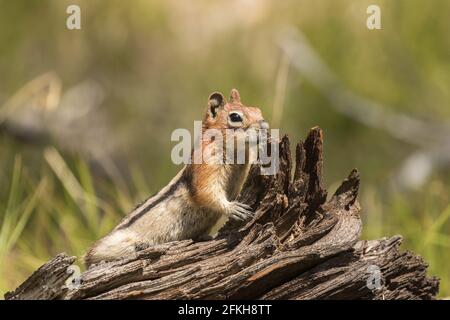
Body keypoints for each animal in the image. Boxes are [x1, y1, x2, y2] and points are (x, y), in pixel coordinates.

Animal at [84, 89, 268, 266]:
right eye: (235, 117)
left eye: (258, 110)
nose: (265, 126)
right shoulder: (206, 167)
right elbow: (206, 192)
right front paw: (233, 208)